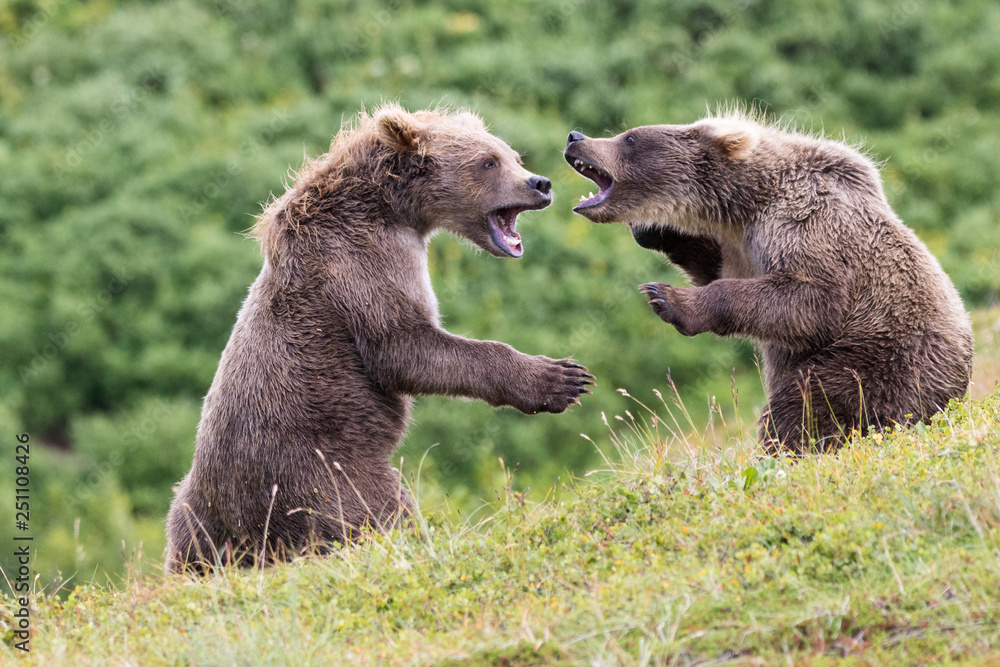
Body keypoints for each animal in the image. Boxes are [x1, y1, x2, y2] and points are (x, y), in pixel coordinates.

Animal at [165, 104, 595, 573]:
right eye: (488, 162)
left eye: (513, 156)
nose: (540, 183)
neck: (393, 209)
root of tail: (240, 529)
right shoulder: (363, 264)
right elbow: (405, 348)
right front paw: (562, 378)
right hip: (321, 476)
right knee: (377, 514)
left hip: (193, 517)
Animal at [563, 110, 973, 453]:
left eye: (630, 137)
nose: (574, 136)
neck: (749, 204)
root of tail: (955, 394)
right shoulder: (742, 245)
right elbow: (720, 271)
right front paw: (657, 230)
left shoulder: (806, 225)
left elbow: (809, 300)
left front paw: (667, 299)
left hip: (882, 360)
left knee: (810, 400)